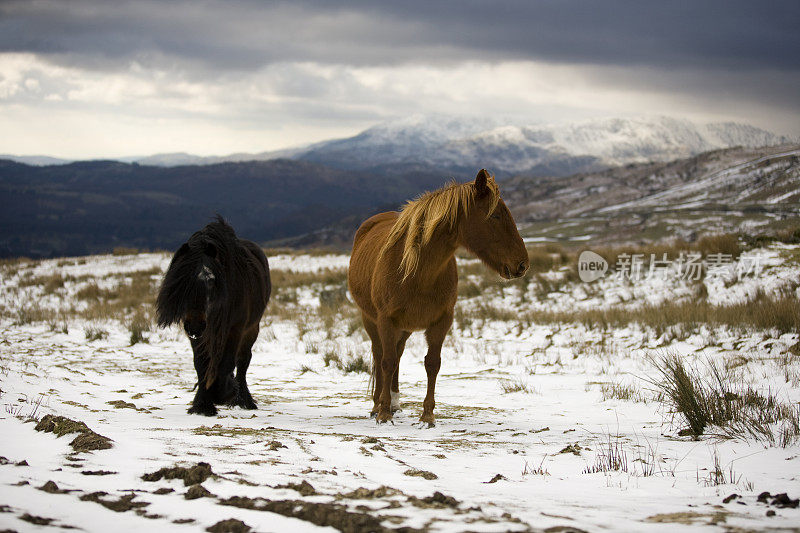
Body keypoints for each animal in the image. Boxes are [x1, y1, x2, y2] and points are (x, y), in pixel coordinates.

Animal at [156, 216, 272, 416]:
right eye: (181, 281)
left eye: (211, 280)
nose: (195, 324)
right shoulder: (197, 335)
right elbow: (201, 364)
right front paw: (202, 404)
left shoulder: (235, 329)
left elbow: (228, 362)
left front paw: (223, 393)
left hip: (251, 329)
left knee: (243, 361)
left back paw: (244, 399)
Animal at [346, 168, 528, 426]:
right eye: (495, 216)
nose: (522, 264)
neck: (417, 271)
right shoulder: (385, 320)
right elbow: (386, 362)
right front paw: (383, 414)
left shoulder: (441, 321)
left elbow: (432, 364)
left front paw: (427, 416)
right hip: (371, 320)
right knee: (381, 354)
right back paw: (377, 405)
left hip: (405, 327)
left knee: (397, 355)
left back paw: (395, 403)